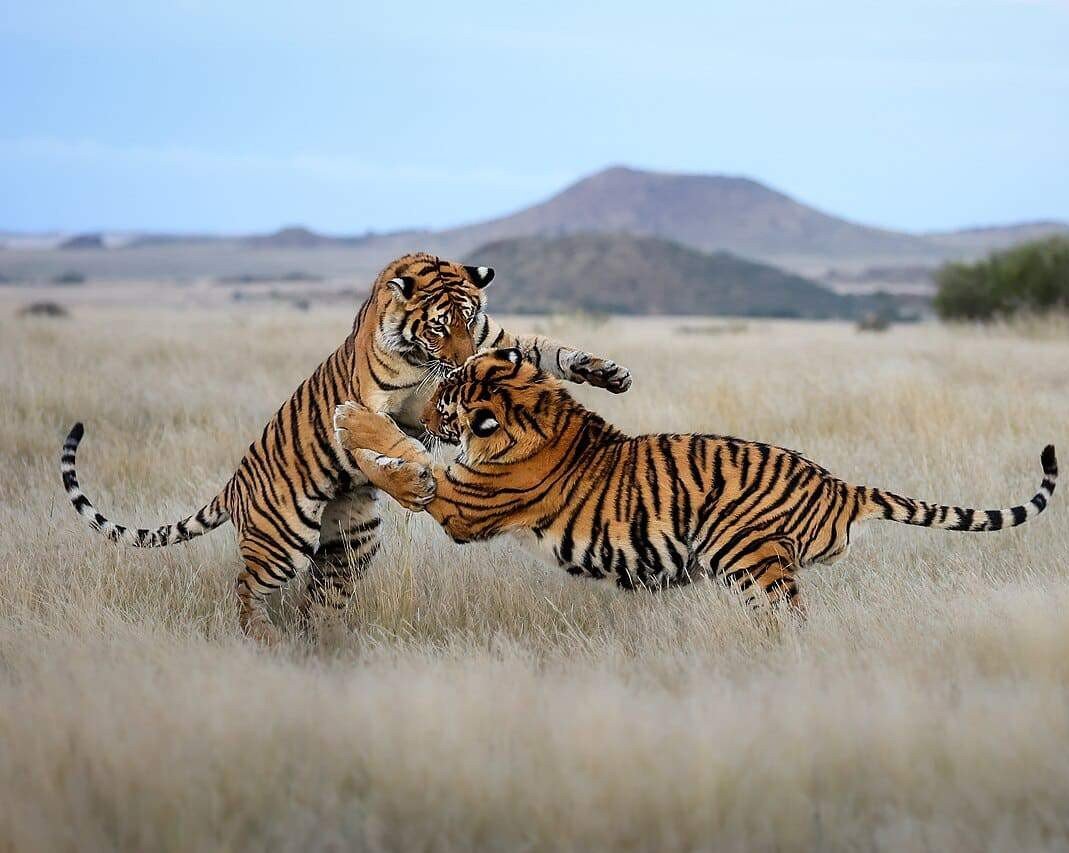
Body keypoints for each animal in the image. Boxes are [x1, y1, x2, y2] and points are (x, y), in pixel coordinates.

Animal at [60, 254, 632, 643]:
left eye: (469, 320)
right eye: (440, 325)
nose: (463, 363)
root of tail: (234, 484)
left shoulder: (495, 343)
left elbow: (546, 348)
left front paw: (606, 372)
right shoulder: (373, 404)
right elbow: (378, 444)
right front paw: (411, 481)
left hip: (351, 545)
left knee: (322, 594)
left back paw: (325, 642)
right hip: (282, 541)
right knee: (245, 585)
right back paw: (263, 638)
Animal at [333, 348, 1057, 606]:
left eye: (447, 397)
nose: (428, 400)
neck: (535, 411)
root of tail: (839, 485)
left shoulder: (465, 502)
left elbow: (403, 465)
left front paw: (350, 421)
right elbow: (402, 457)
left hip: (751, 558)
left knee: (788, 620)